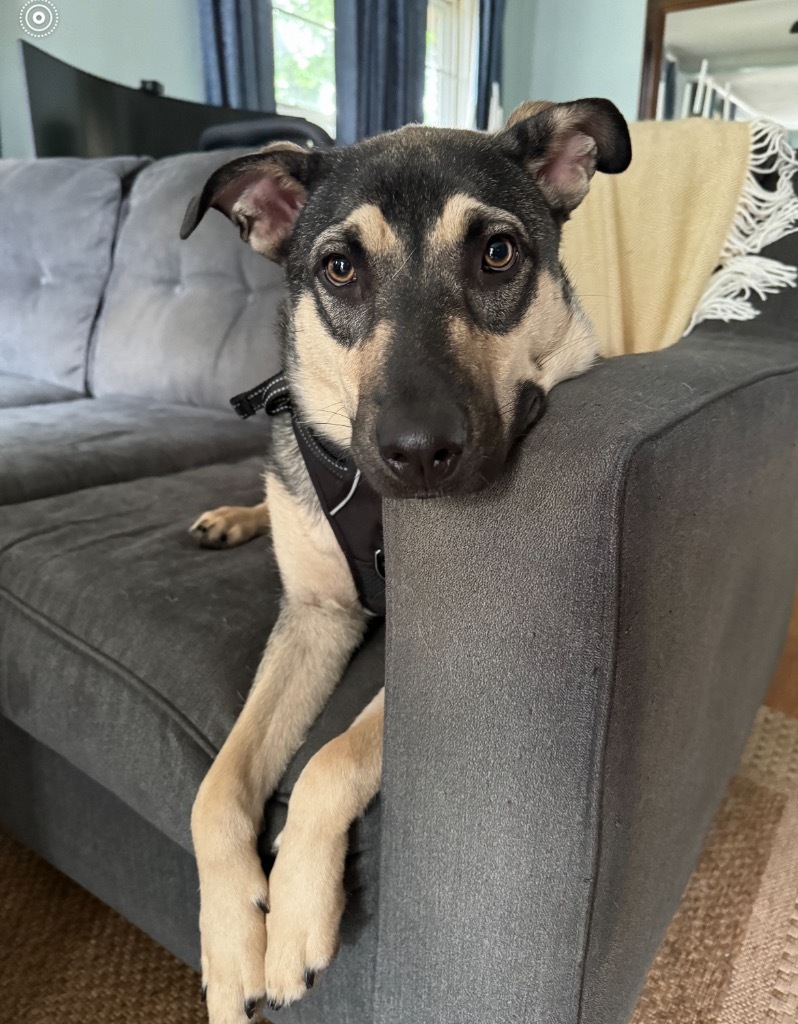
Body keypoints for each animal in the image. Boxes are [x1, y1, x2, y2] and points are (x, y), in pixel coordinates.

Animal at [179, 97, 631, 1024]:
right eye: (340, 268)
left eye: (497, 253)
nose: (421, 453)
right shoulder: (314, 619)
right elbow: (216, 790)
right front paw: (231, 944)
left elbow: (329, 760)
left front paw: (295, 918)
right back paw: (233, 517)